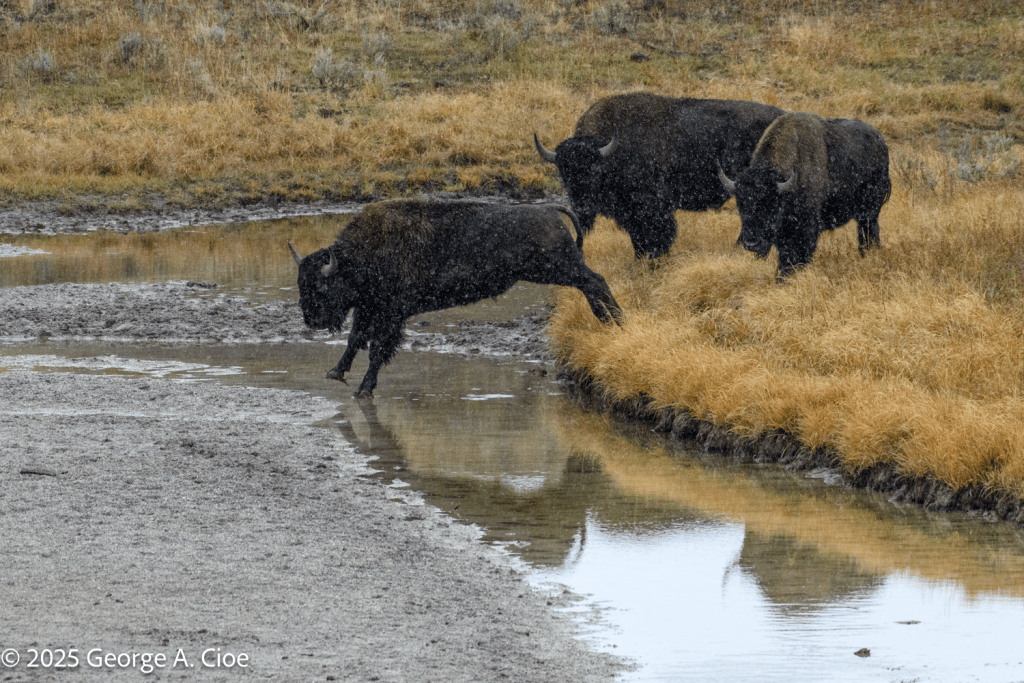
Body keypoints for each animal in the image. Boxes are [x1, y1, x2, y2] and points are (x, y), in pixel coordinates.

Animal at [288, 199, 622, 398]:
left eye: (321, 287)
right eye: (300, 284)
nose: (311, 319)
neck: (358, 258)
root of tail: (549, 210)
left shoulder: (391, 314)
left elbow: (377, 350)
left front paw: (364, 390)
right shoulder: (368, 309)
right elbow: (355, 339)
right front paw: (335, 373)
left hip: (558, 268)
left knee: (595, 281)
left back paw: (615, 321)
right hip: (559, 269)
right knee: (592, 284)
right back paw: (610, 321)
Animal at [534, 92, 784, 259]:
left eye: (594, 171)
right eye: (563, 173)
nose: (581, 206)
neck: (612, 150)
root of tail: (782, 115)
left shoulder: (652, 208)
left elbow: (658, 235)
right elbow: (638, 240)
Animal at [718, 111, 891, 278]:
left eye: (771, 205)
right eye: (740, 205)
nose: (751, 244)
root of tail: (880, 140)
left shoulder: (805, 229)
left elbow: (795, 255)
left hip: (869, 210)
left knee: (868, 230)